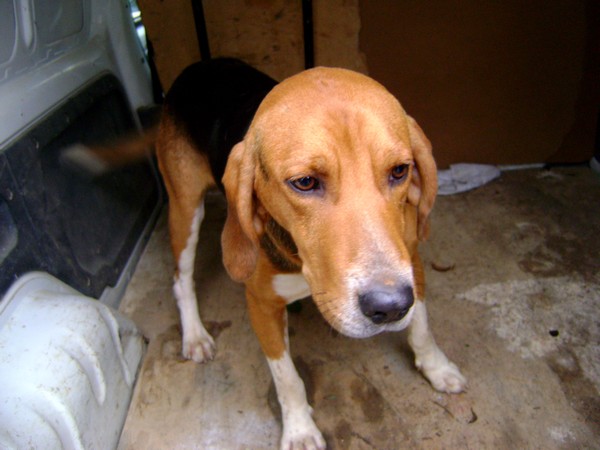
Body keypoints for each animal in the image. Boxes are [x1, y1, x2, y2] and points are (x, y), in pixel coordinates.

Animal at [134, 59, 466, 446]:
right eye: (305, 182)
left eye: (400, 170)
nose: (390, 306)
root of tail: (200, 65)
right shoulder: (261, 305)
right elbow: (287, 377)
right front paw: (300, 430)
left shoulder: (411, 261)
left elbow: (422, 327)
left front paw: (437, 368)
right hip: (185, 210)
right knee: (181, 278)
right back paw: (195, 335)